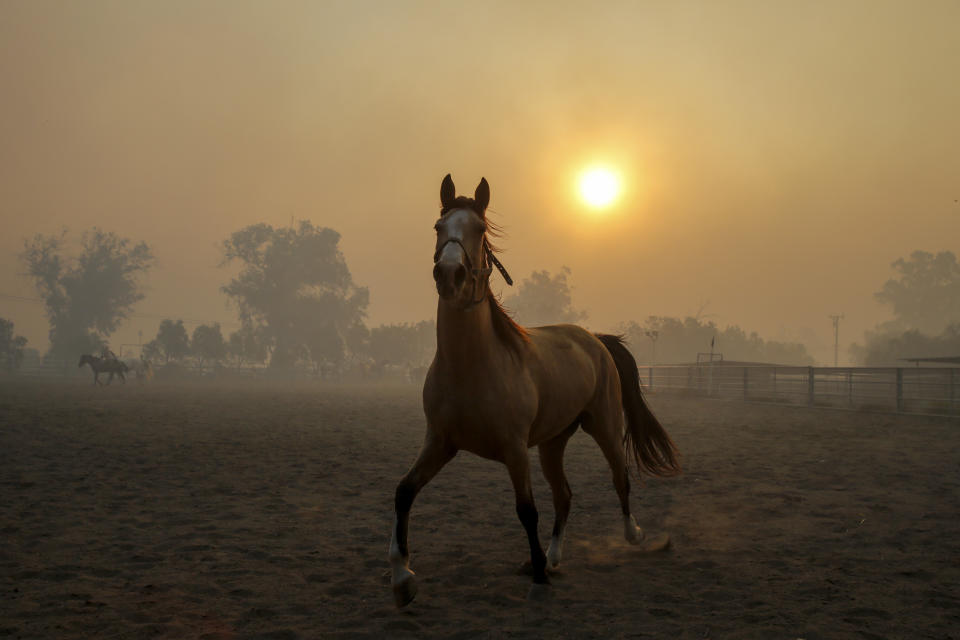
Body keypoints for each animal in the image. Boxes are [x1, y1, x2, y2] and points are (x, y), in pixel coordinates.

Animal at [386, 174, 680, 604]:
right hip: (552, 443)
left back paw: (633, 536)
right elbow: (404, 491)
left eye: (480, 229)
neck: (472, 367)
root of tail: (594, 339)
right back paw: (555, 557)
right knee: (564, 495)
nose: (450, 275)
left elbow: (526, 510)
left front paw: (539, 573)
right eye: (439, 227)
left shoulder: (513, 449)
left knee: (619, 477)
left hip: (604, 426)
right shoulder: (440, 442)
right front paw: (402, 576)